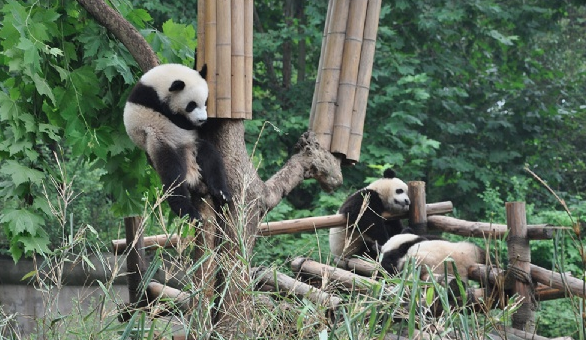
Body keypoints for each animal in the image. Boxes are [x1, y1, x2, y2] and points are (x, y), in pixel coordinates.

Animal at [123, 63, 230, 223]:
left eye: (205, 102)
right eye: (191, 105)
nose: (202, 119)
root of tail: (185, 155)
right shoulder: (156, 104)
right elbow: (183, 122)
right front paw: (212, 121)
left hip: (193, 144)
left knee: (211, 158)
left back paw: (221, 193)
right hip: (162, 143)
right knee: (173, 178)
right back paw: (188, 212)